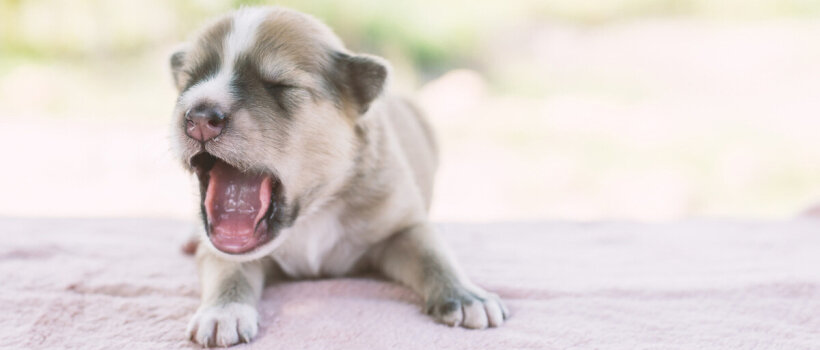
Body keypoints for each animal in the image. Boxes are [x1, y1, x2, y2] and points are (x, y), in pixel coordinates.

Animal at [169, 6, 506, 348]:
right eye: (189, 82)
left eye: (278, 85)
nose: (199, 118)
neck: (313, 211)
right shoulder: (219, 248)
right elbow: (228, 267)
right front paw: (223, 312)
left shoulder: (404, 226)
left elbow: (433, 255)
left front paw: (466, 297)